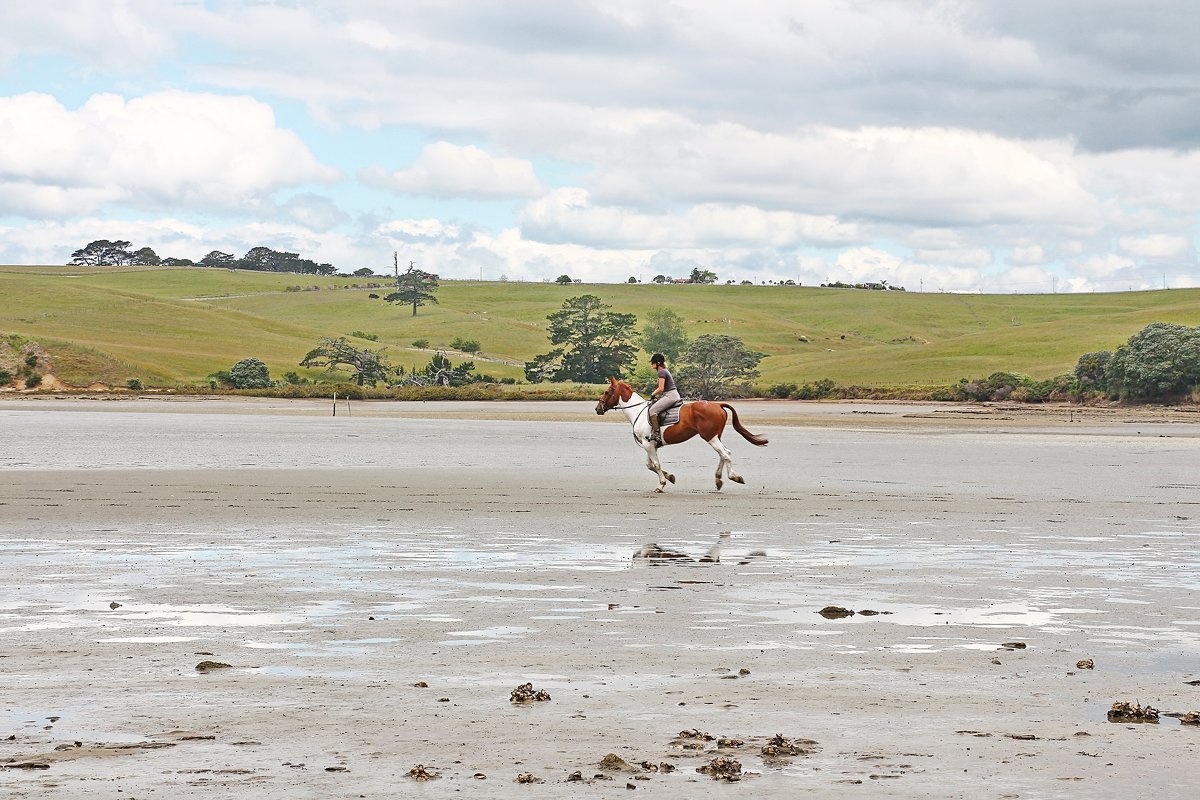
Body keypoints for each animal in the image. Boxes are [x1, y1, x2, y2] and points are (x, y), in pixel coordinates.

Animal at [592, 376, 768, 494]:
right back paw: (718, 480)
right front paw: (670, 477)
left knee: (725, 454)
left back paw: (734, 477)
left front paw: (661, 484)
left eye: (607, 392)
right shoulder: (649, 444)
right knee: (724, 454)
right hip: (715, 435)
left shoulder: (648, 444)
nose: (597, 409)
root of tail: (718, 404)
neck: (637, 411)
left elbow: (656, 465)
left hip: (709, 436)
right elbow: (650, 465)